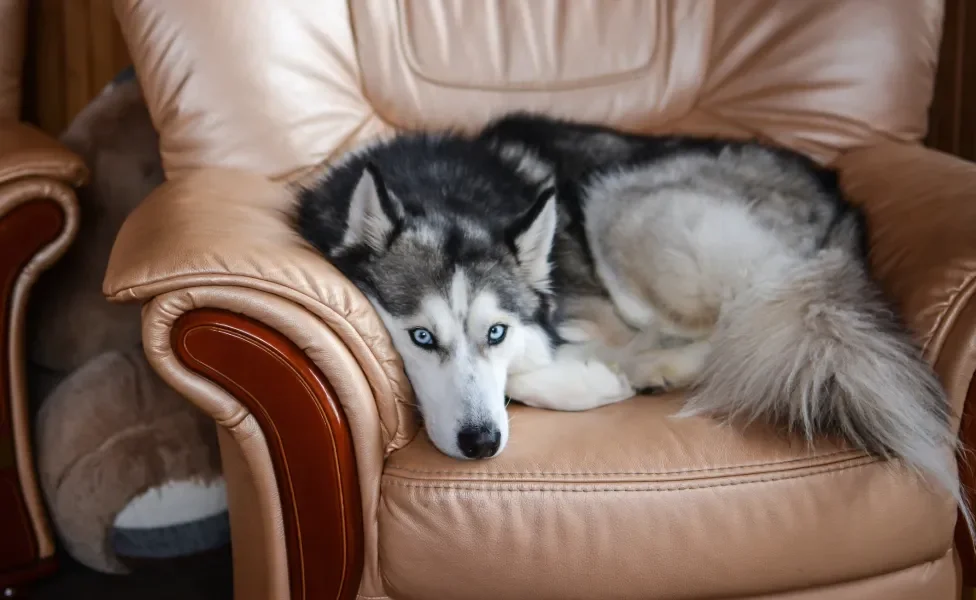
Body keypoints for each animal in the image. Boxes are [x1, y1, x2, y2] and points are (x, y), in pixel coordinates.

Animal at [298, 112, 968, 528]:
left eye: (496, 331)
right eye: (420, 337)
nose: (482, 443)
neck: (442, 194)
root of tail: (843, 207)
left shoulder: (584, 320)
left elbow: (543, 365)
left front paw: (596, 377)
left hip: (620, 202)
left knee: (742, 323)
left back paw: (661, 367)